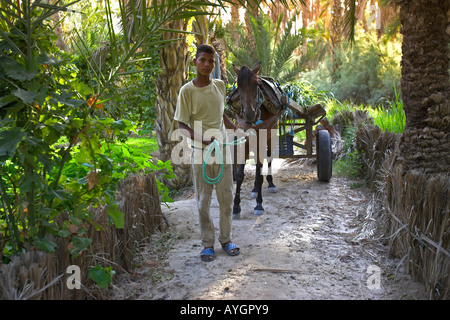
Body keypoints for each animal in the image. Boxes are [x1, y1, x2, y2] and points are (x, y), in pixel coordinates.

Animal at [229, 62, 284, 218]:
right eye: (238, 85)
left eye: (257, 84)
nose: (249, 113)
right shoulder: (244, 140)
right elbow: (240, 174)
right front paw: (236, 206)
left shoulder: (261, 139)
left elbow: (260, 173)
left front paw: (259, 205)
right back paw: (254, 188)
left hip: (271, 136)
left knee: (269, 158)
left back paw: (270, 183)